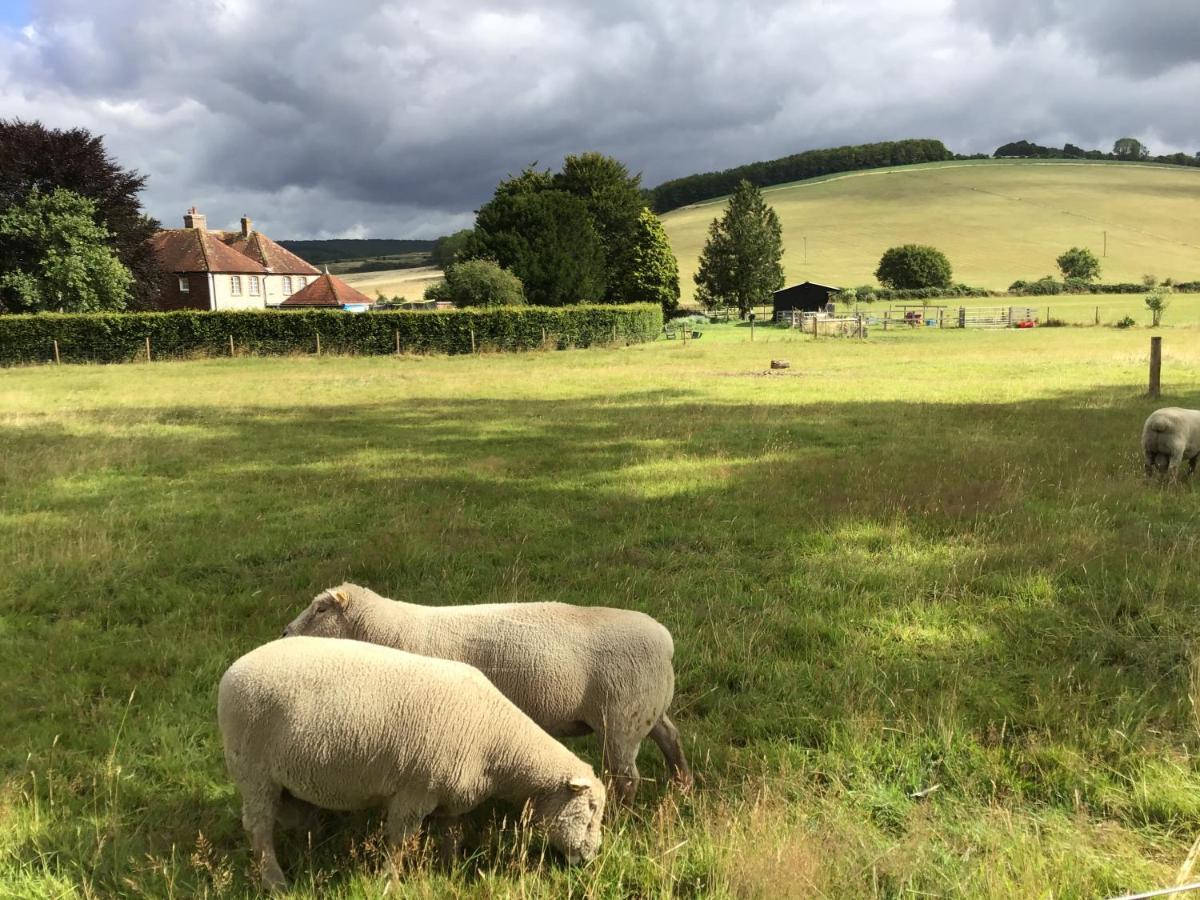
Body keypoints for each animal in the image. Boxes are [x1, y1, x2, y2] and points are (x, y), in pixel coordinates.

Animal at [217, 638, 604, 892]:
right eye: (590, 813)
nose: (591, 858)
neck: (499, 744)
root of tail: (233, 670)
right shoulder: (415, 791)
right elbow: (400, 842)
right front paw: (389, 881)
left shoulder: (451, 795)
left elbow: (450, 834)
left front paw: (450, 870)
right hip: (252, 770)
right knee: (258, 827)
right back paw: (275, 880)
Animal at [280, 588, 691, 806]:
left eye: (320, 608)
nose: (283, 635)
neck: (384, 631)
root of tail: (666, 641)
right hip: (648, 711)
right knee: (671, 739)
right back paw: (682, 784)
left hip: (621, 719)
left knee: (627, 776)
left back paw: (623, 814)